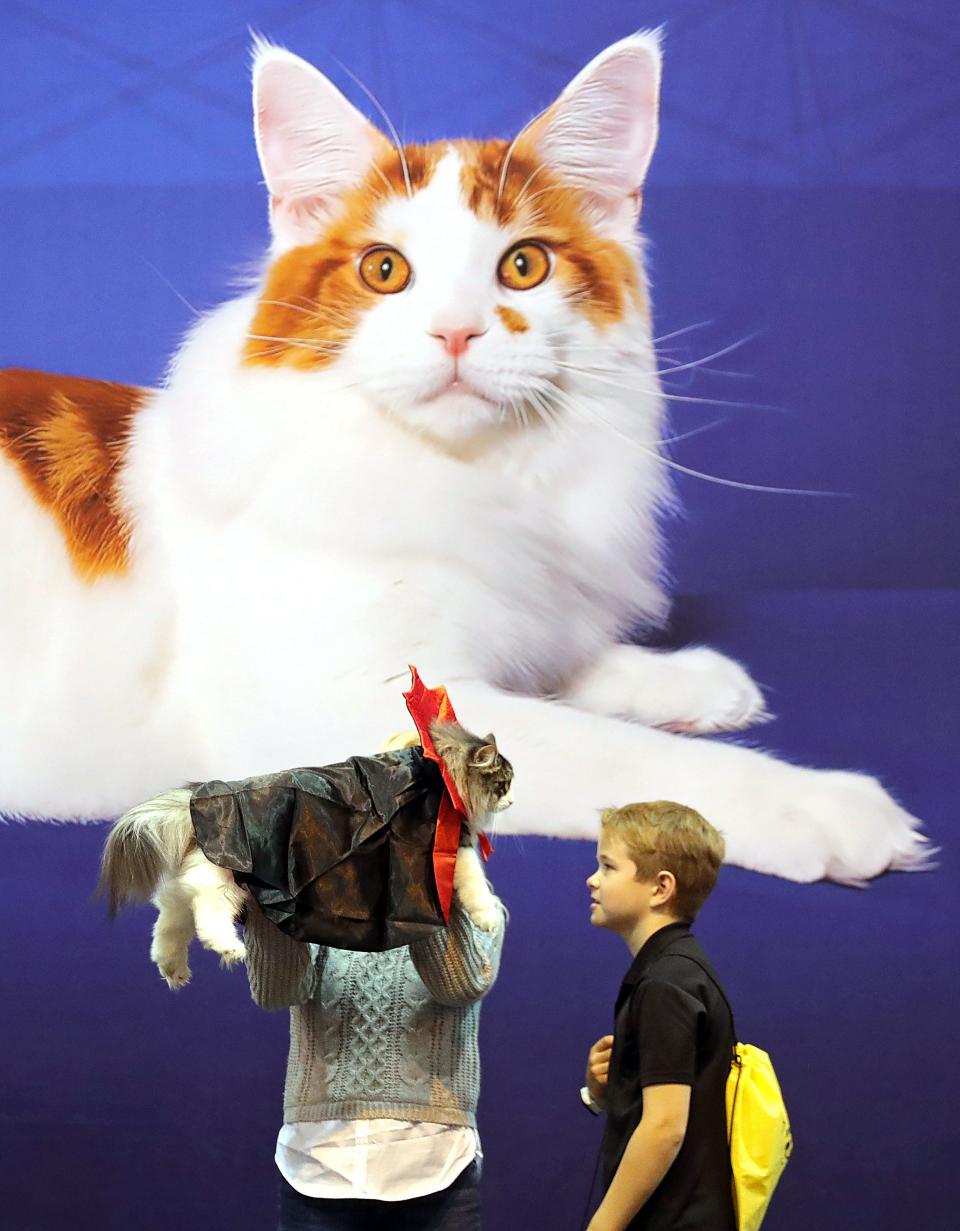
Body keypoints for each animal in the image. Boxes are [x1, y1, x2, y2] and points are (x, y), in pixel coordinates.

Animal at [0, 33, 930, 886]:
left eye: (524, 265)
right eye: (384, 270)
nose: (455, 330)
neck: (469, 478)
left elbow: (565, 671)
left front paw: (685, 680)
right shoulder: (329, 705)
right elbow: (618, 755)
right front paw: (815, 803)